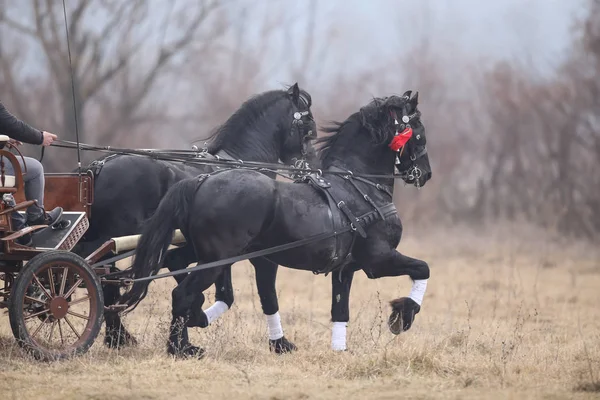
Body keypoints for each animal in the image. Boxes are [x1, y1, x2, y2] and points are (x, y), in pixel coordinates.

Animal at [72, 83, 316, 350]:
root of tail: (98, 168)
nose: (311, 168)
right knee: (99, 279)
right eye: (308, 127)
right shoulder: (247, 252)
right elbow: (254, 292)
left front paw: (186, 333)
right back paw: (115, 336)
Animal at [119, 90, 434, 356]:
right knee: (182, 294)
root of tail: (201, 181)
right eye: (419, 131)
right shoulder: (378, 261)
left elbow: (339, 310)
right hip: (216, 260)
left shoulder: (345, 268)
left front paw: (338, 349)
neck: (359, 187)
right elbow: (423, 268)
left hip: (205, 254)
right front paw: (402, 315)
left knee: (178, 276)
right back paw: (179, 348)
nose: (425, 174)